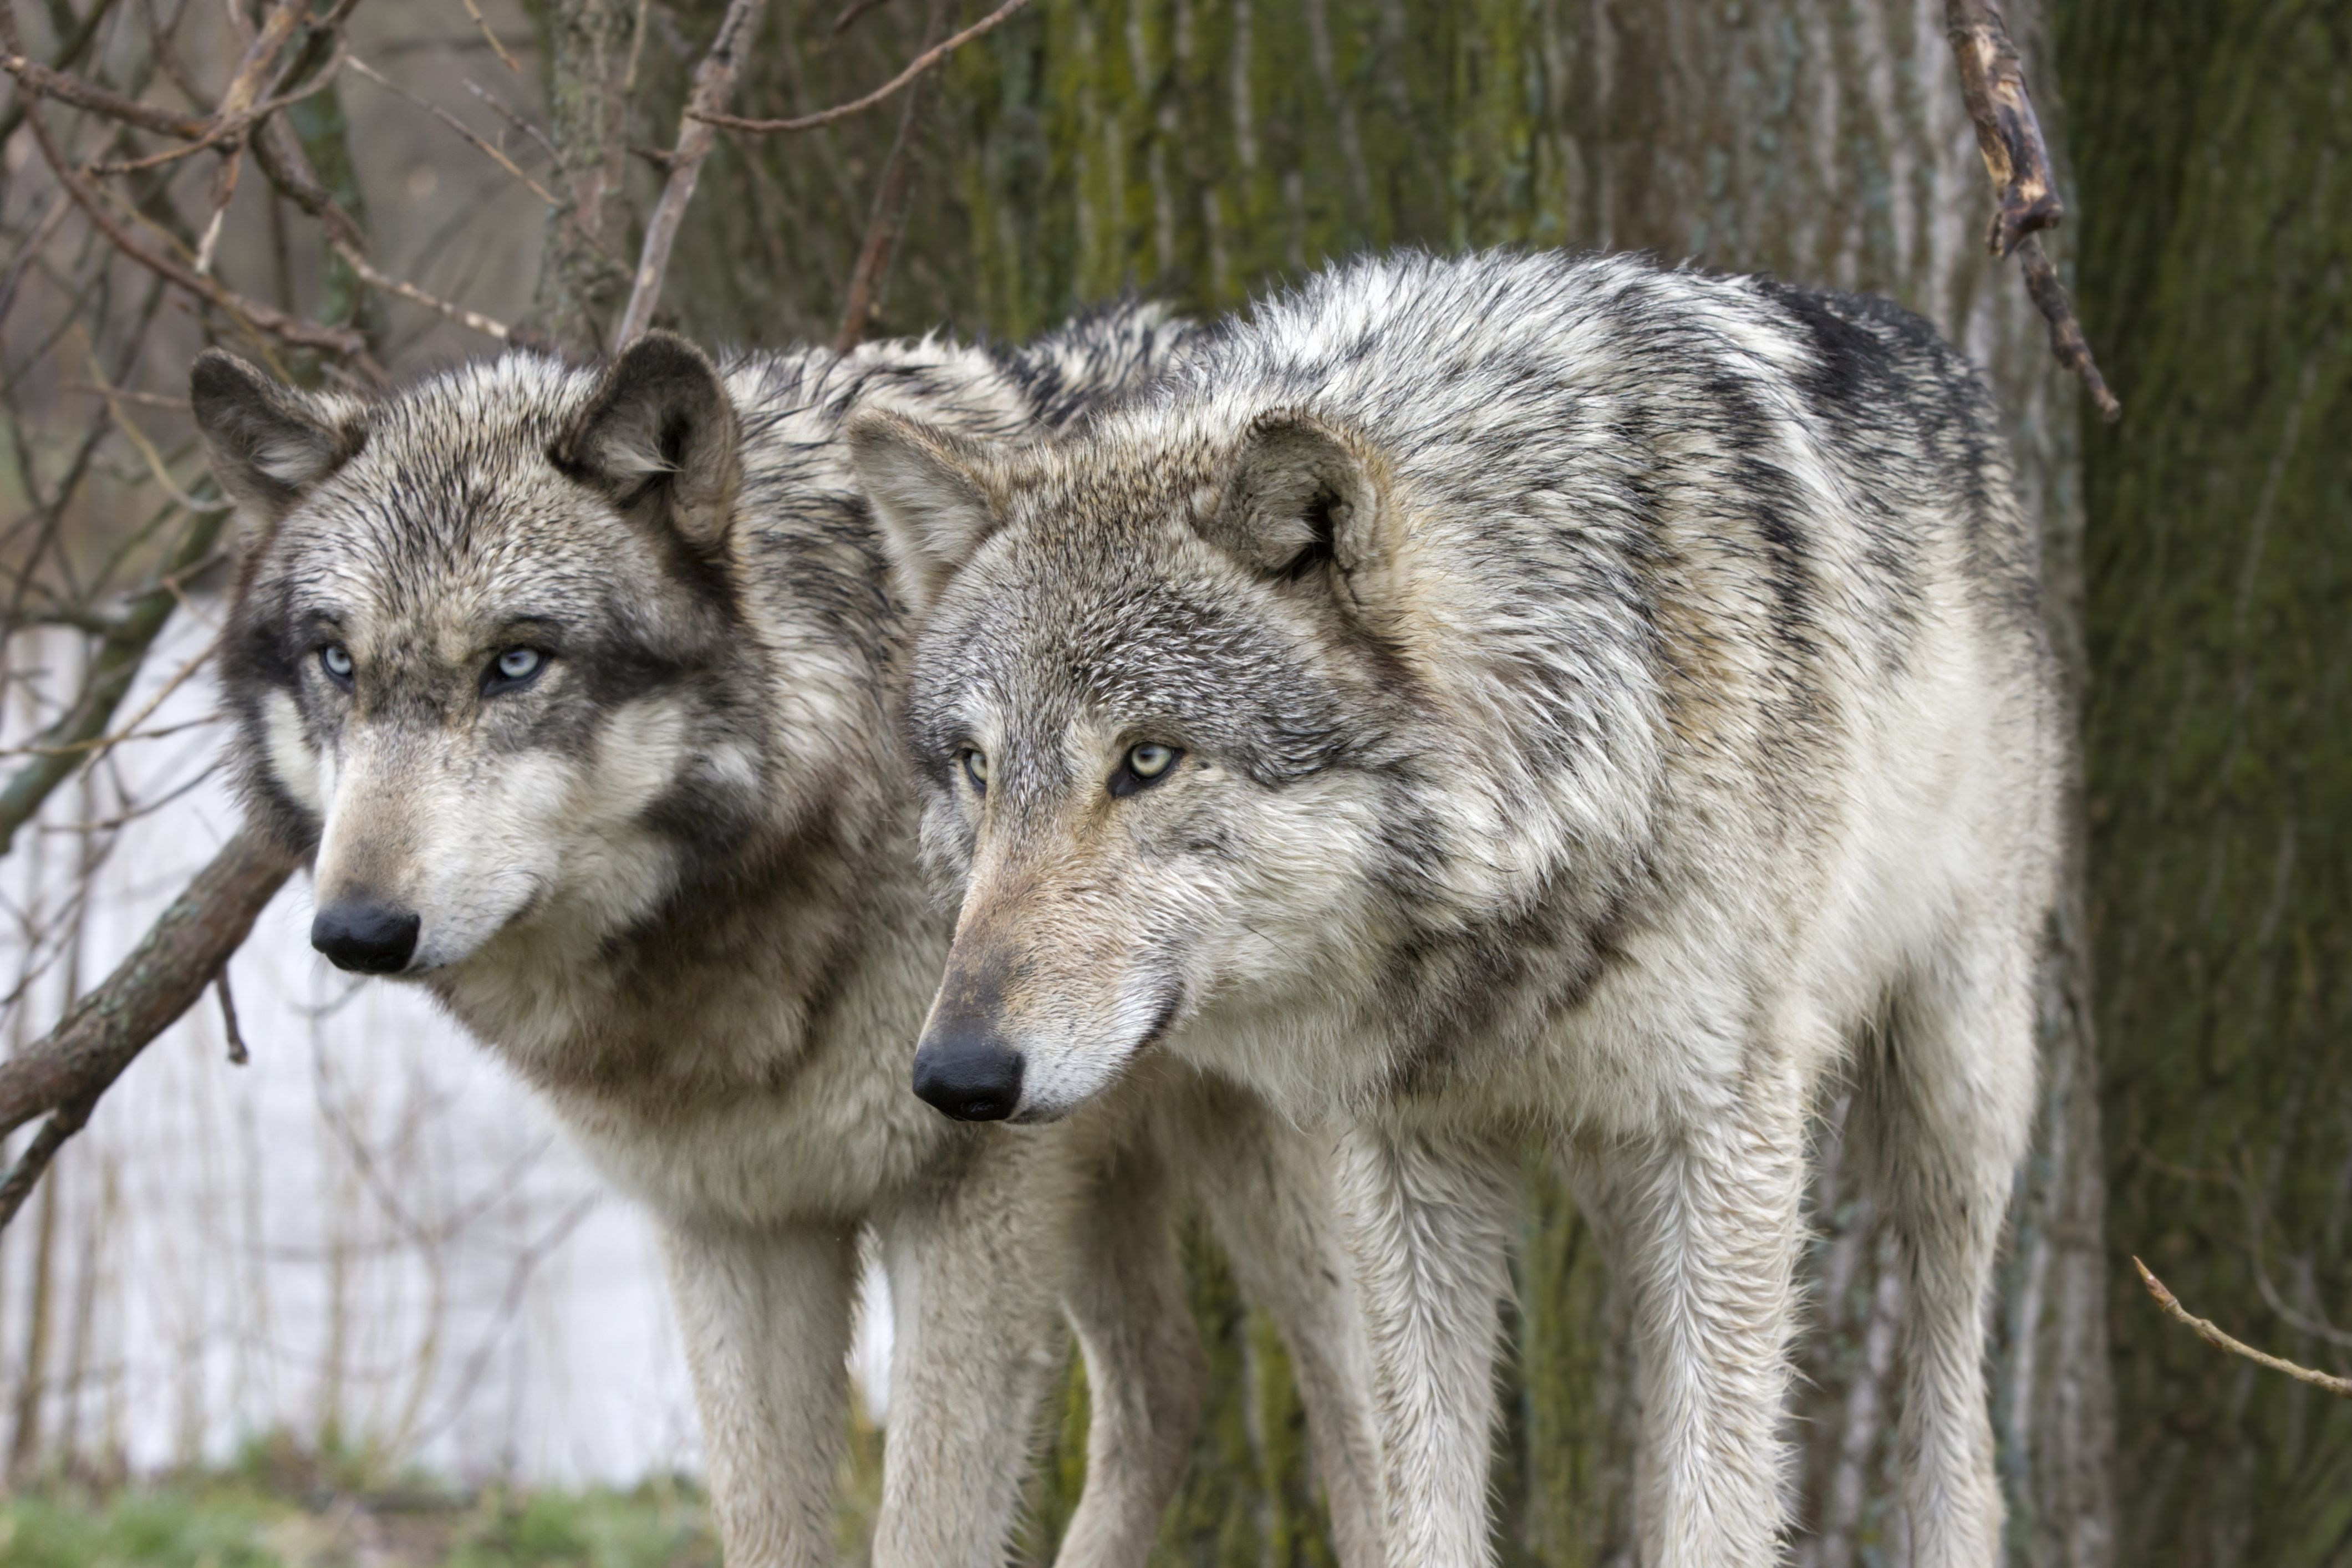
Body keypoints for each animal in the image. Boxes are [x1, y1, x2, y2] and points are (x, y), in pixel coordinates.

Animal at [192, 310, 1381, 1568]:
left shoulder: (968, 1200)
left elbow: (926, 1526)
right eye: (336, 660)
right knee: (1167, 1386)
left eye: (515, 661)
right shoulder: (734, 1227)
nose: (357, 929)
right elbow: (764, 1523)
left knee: (1360, 1424)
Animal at [848, 249, 2063, 1568]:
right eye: (977, 767)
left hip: (1946, 1104)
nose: (957, 1075)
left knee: (1957, 1429)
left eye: (1149, 760)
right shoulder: (1404, 1163)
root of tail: (1937, 356)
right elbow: (1426, 1501)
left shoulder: (1723, 1134)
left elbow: (1723, 1506)